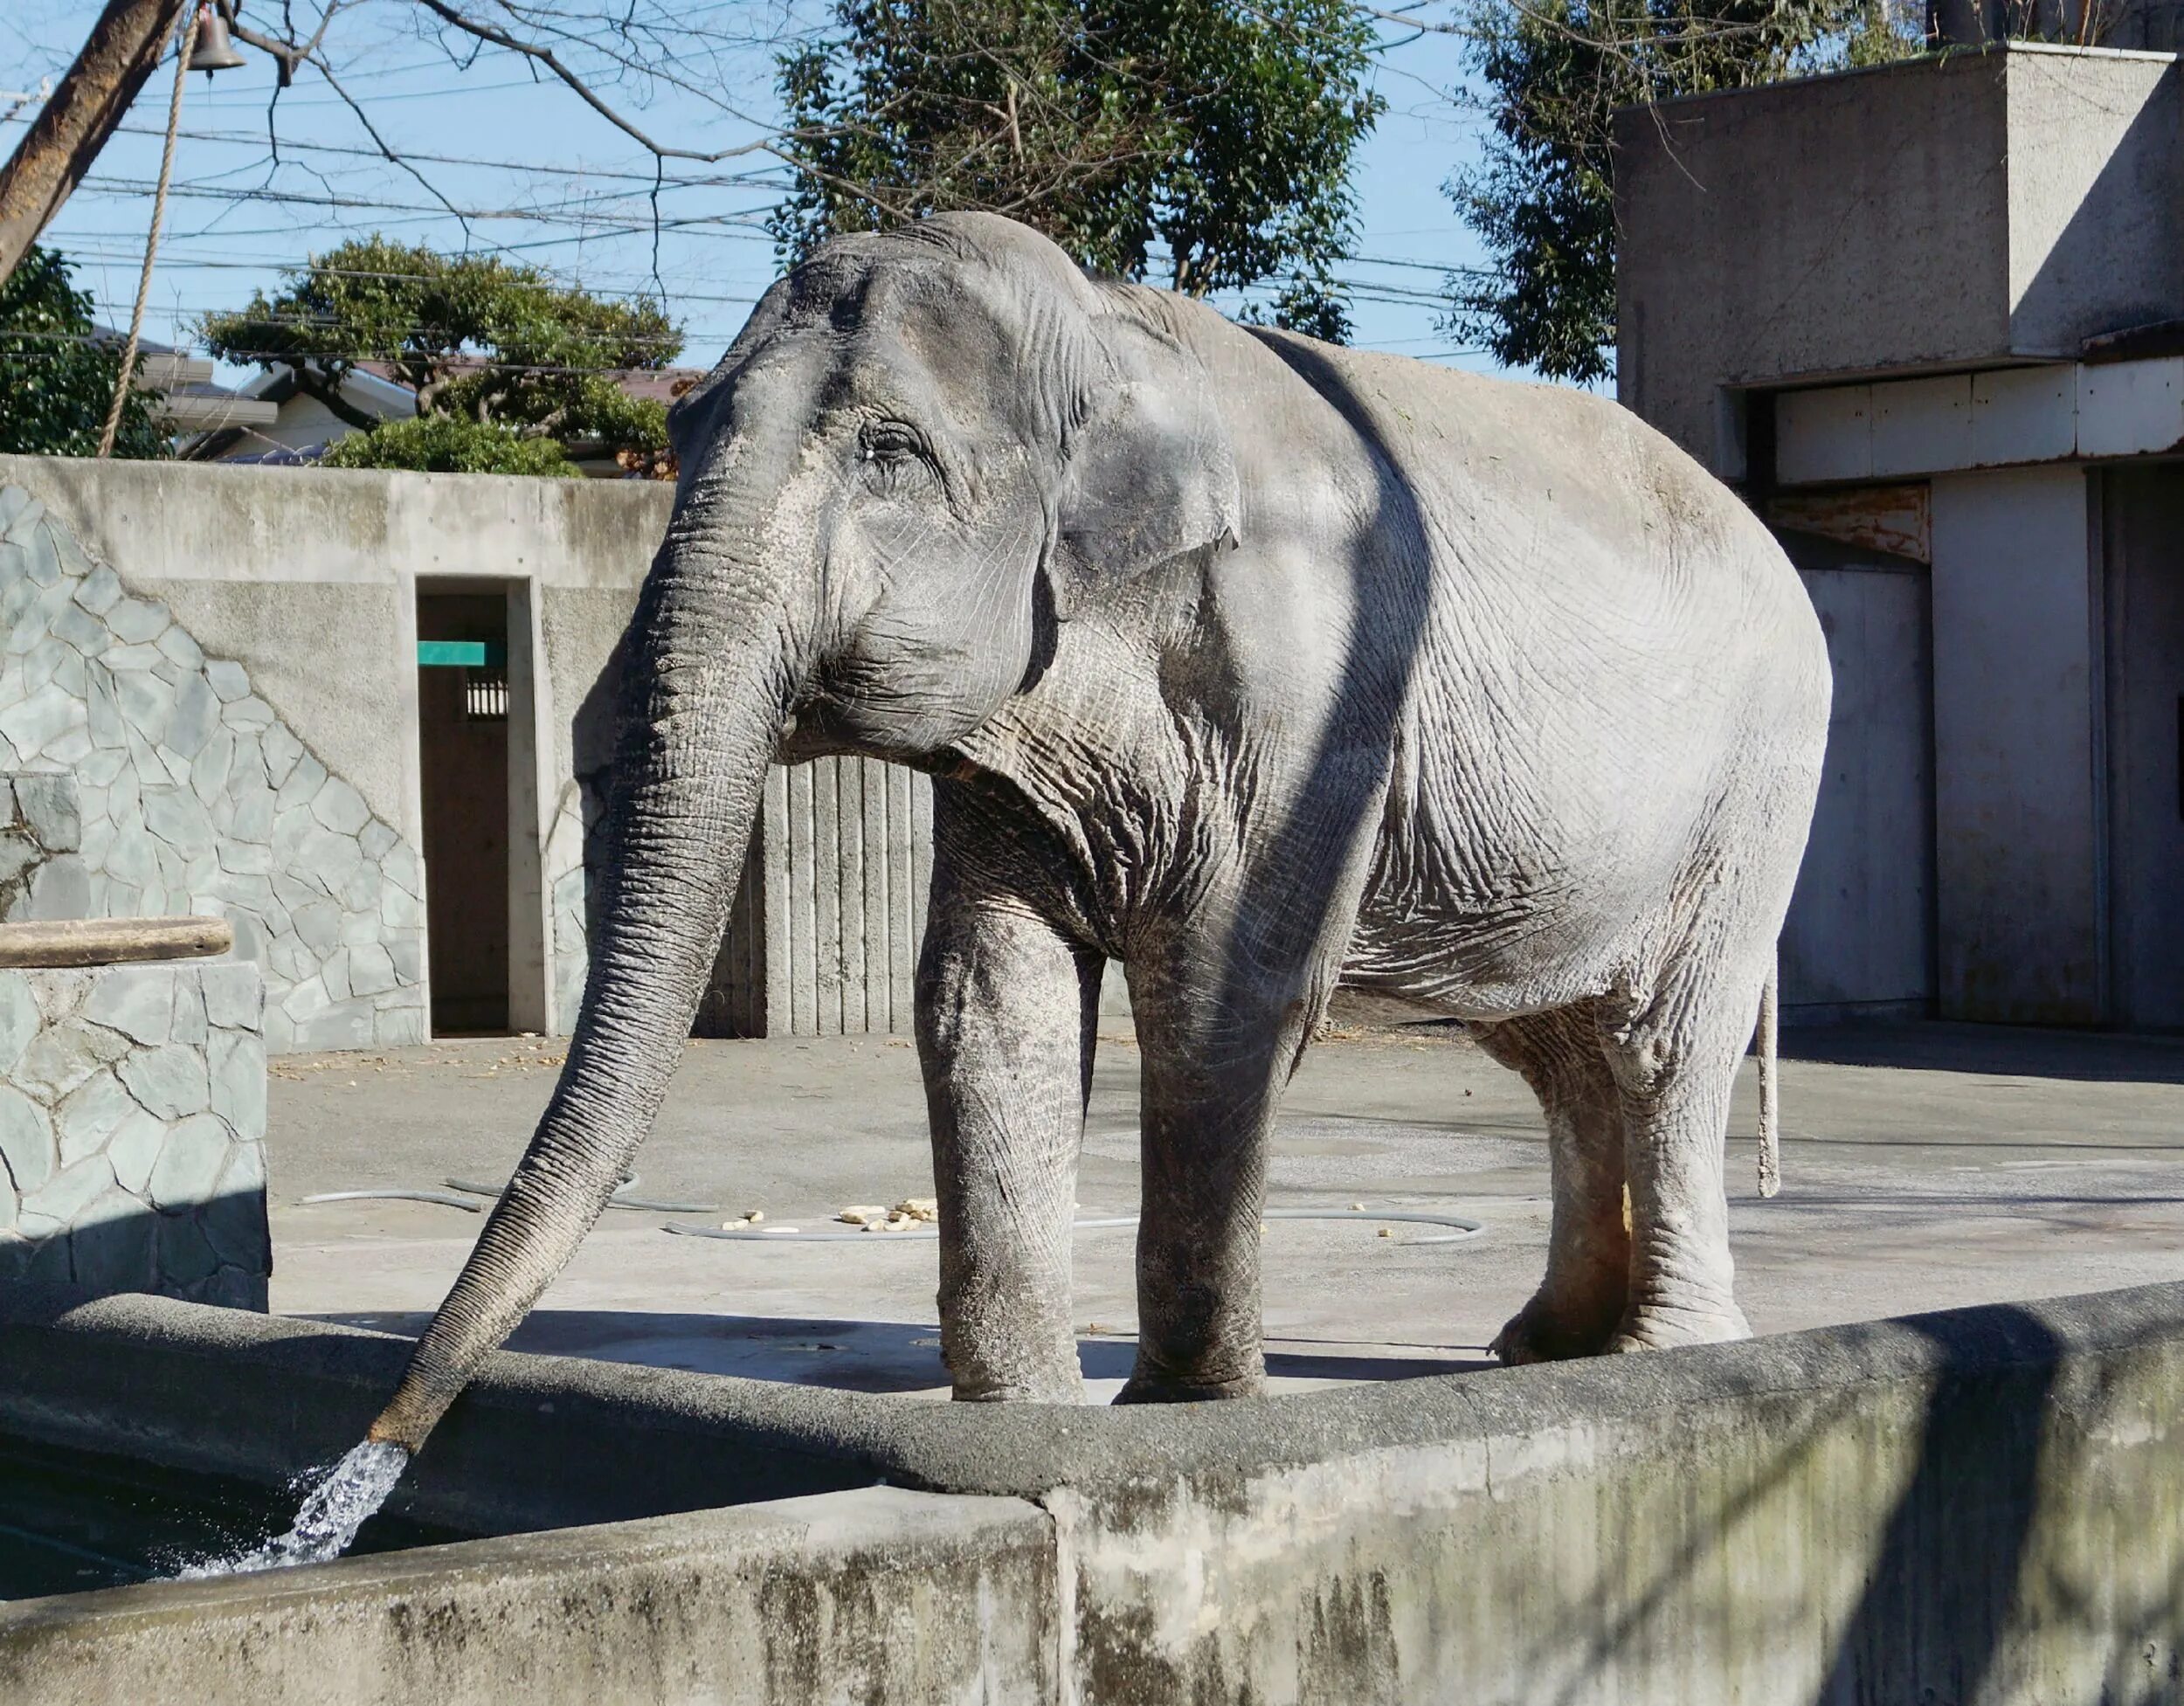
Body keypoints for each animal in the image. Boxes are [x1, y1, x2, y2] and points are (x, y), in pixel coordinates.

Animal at [367, 203, 1835, 1450]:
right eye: (674, 446)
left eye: (889, 451)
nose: (380, 1445)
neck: (1106, 328)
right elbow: (985, 987)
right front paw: (1031, 1420)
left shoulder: (1313, 681)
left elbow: (1226, 985)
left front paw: (1183, 1414)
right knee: (1556, 1049)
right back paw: (1545, 1347)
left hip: (1758, 784)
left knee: (1660, 1045)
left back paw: (1665, 1352)